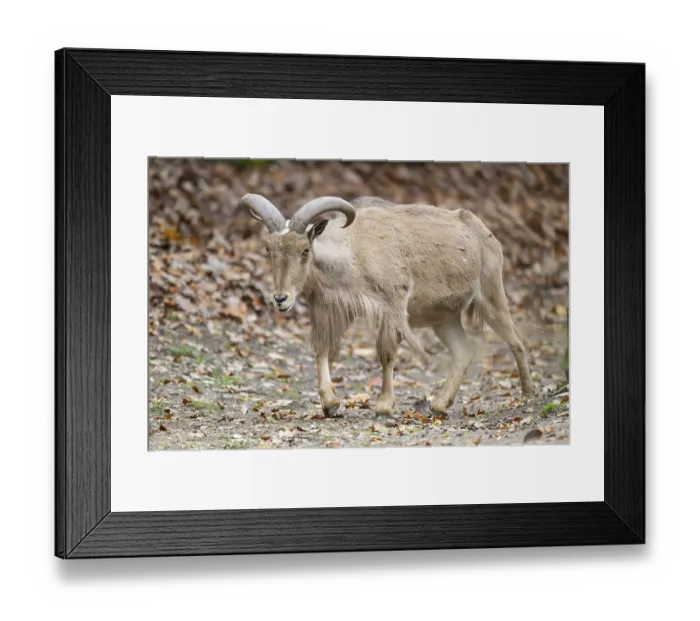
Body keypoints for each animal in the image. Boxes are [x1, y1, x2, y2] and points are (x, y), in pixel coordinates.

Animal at [240, 193, 535, 417]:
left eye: (304, 250)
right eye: (269, 250)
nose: (281, 299)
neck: (355, 249)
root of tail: (486, 233)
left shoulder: (393, 304)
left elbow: (387, 352)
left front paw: (384, 405)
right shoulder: (332, 308)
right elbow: (322, 350)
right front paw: (330, 404)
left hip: (491, 295)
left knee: (516, 340)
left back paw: (528, 395)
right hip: (443, 318)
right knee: (463, 352)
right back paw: (440, 405)